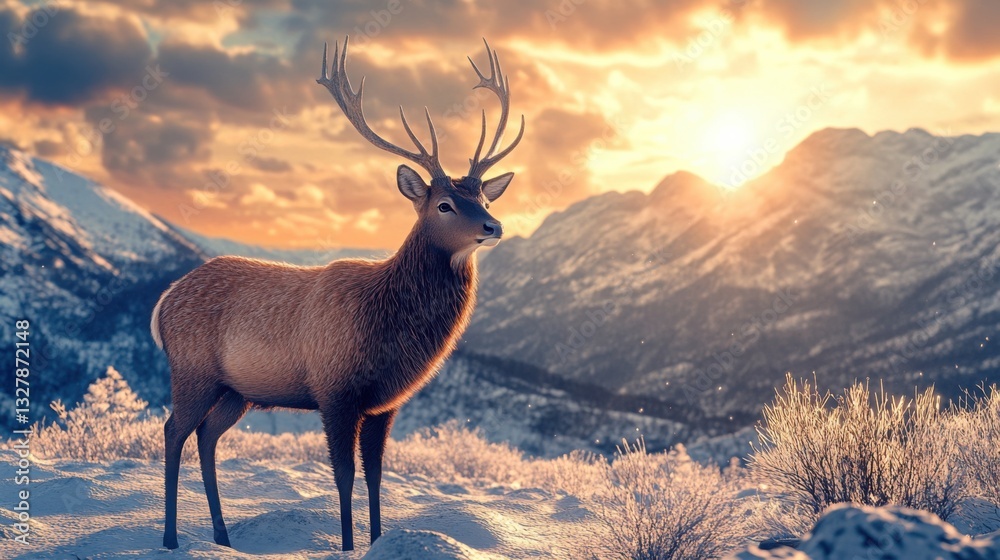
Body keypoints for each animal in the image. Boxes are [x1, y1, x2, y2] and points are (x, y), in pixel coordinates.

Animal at [152, 37, 524, 552]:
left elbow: (375, 477)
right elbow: (344, 477)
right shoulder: (334, 389)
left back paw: (222, 537)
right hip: (193, 371)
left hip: (236, 390)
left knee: (206, 436)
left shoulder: (384, 403)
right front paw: (347, 546)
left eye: (485, 199)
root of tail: (163, 303)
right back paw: (170, 538)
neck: (388, 332)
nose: (494, 226)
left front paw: (376, 541)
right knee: (173, 431)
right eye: (445, 205)